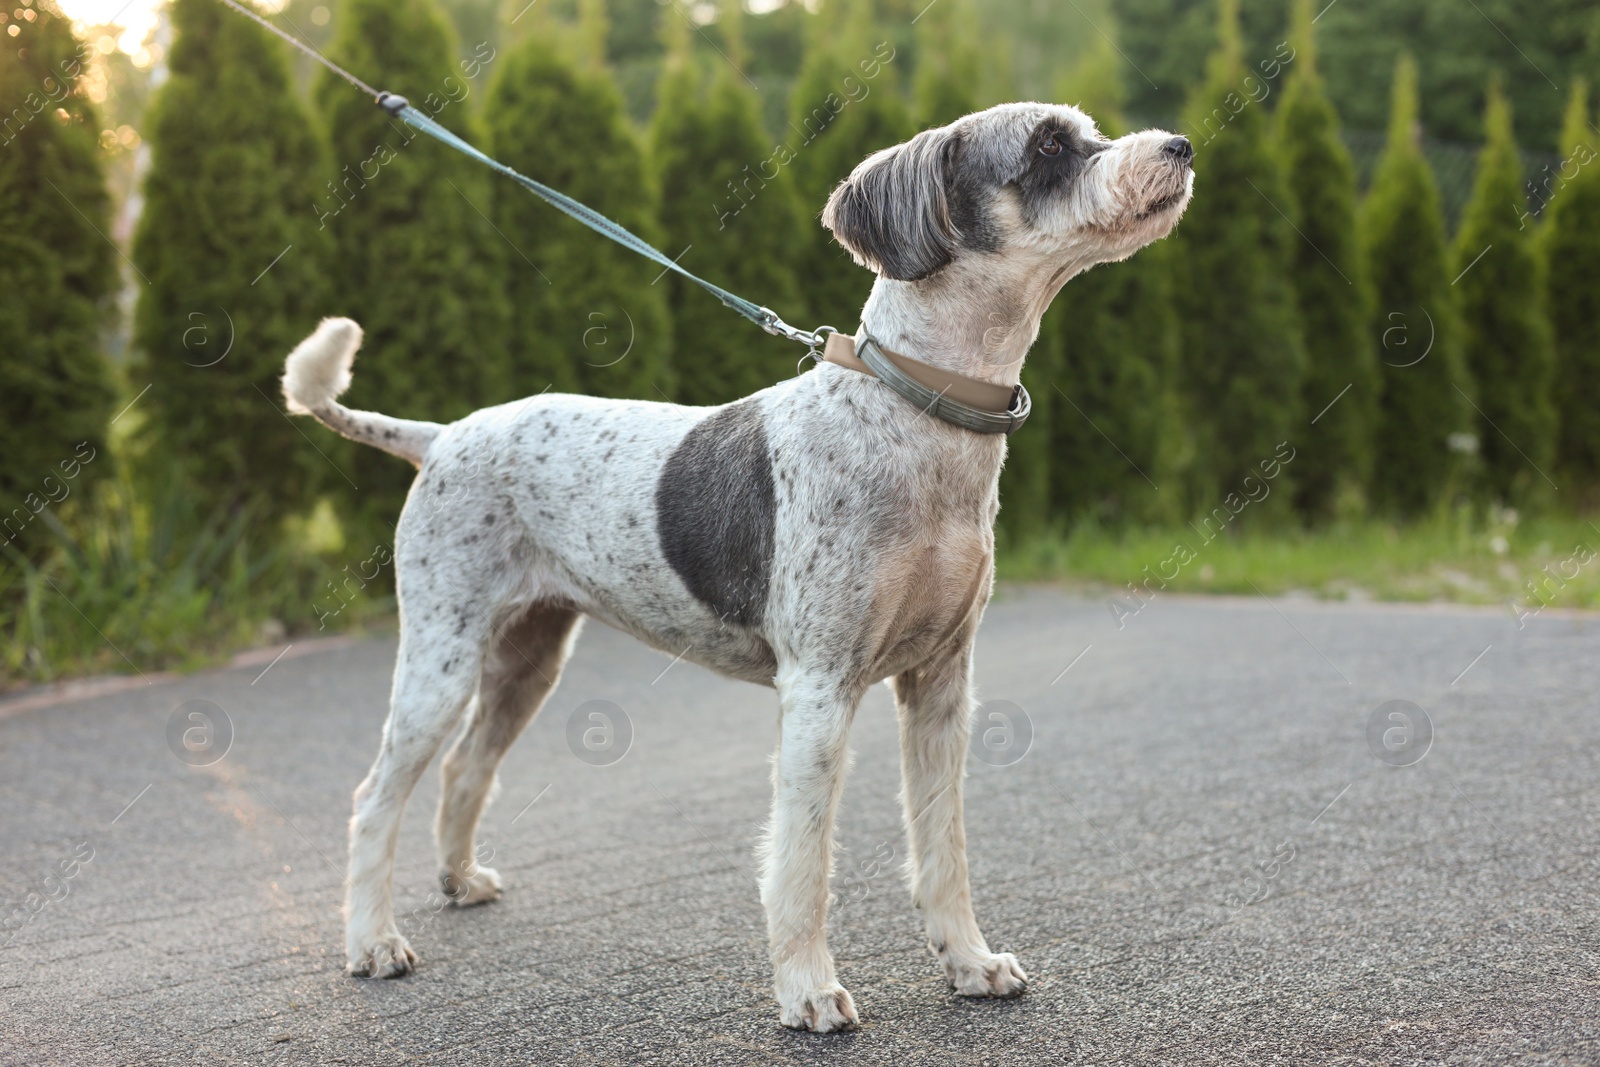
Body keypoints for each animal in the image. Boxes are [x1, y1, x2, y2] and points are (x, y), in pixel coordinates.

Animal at [281, 102, 1196, 1036]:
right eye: (1048, 144)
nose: (1182, 146)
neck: (911, 418)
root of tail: (440, 436)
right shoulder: (820, 690)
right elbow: (801, 863)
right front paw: (808, 990)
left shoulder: (942, 686)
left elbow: (943, 848)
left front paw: (970, 962)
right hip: (440, 661)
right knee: (374, 797)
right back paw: (372, 942)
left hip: (527, 659)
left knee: (466, 767)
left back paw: (460, 879)